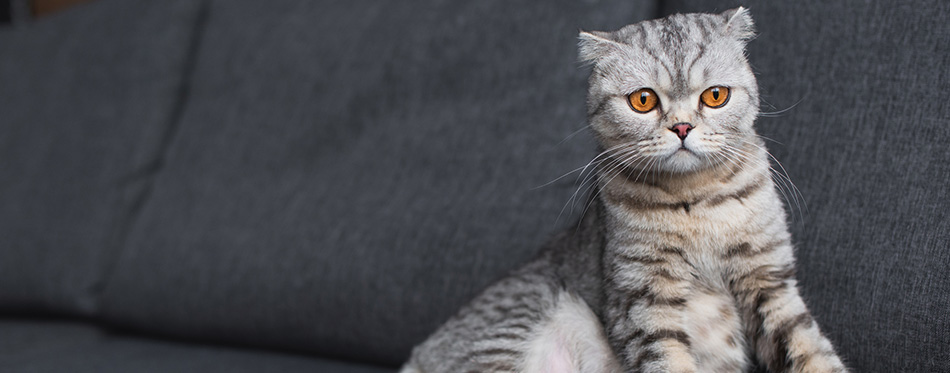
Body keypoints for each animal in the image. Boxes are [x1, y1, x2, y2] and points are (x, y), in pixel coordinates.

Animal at [400, 8, 848, 372]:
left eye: (715, 96)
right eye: (643, 100)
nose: (682, 127)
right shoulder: (643, 297)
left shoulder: (770, 280)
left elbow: (811, 350)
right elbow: (670, 360)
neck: (698, 201)